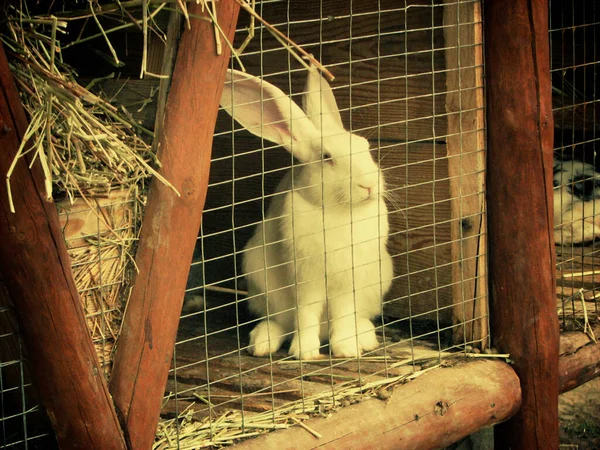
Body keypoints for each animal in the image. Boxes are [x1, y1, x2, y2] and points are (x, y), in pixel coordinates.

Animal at [220, 67, 394, 358]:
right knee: (282, 322)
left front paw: (346, 349)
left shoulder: (347, 282)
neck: (338, 212)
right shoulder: (305, 279)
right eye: (327, 157)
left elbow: (344, 314)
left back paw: (365, 337)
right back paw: (262, 342)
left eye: (365, 147)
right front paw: (306, 353)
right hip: (261, 282)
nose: (369, 184)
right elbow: (306, 313)